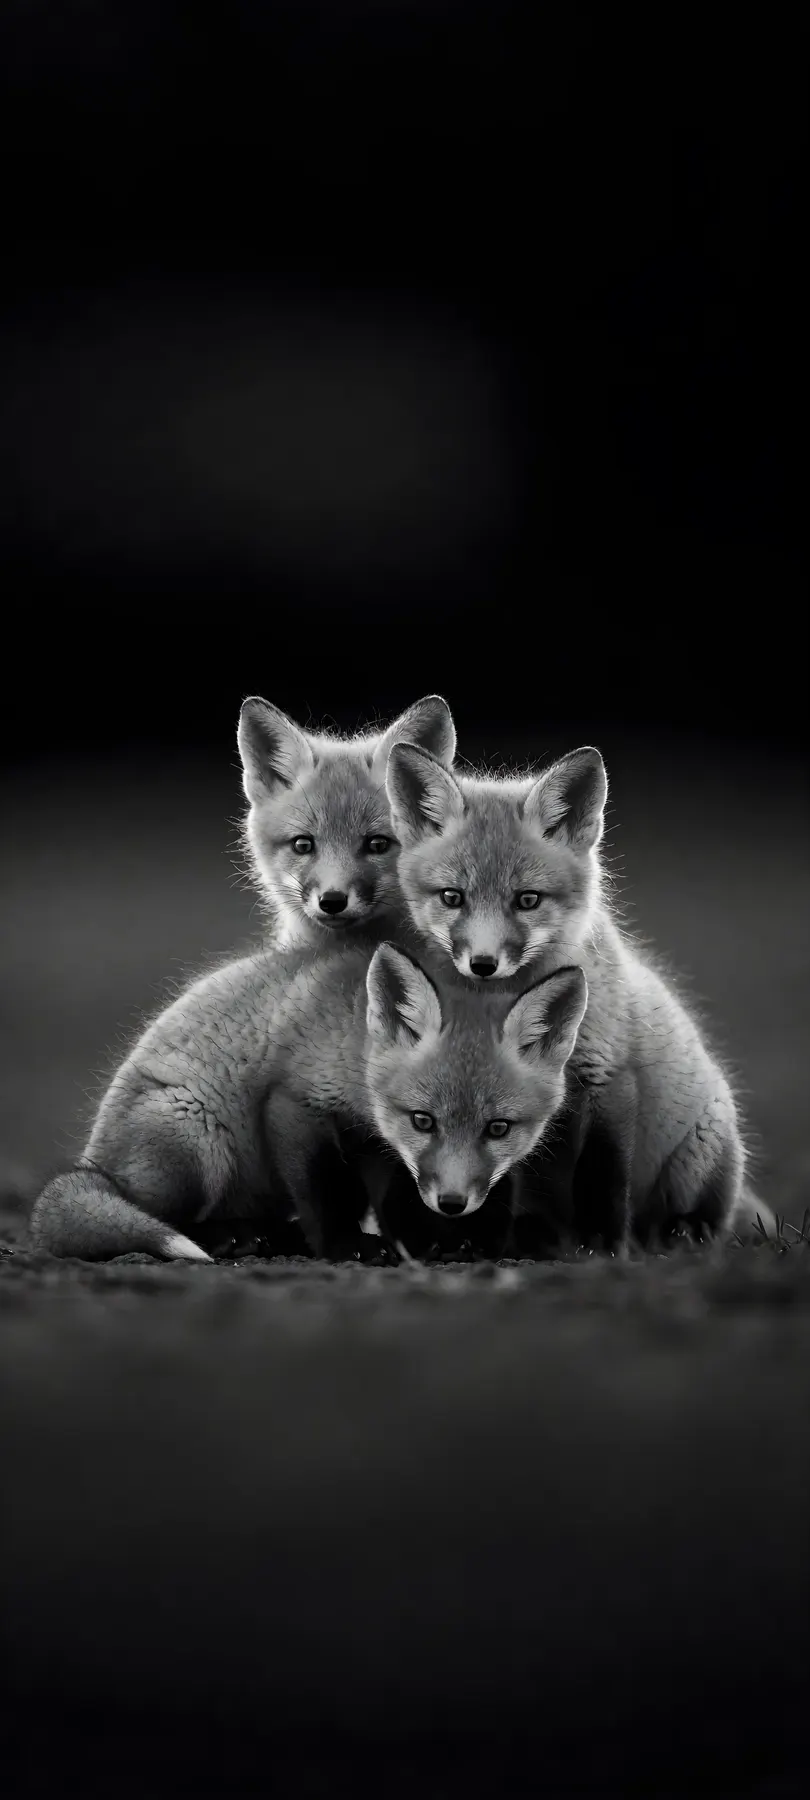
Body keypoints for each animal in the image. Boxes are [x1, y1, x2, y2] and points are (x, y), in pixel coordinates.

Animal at [29, 938, 587, 1263]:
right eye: (424, 1121)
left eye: (498, 1129)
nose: (452, 1205)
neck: (355, 1042)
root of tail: (95, 1164)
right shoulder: (295, 1103)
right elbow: (328, 1188)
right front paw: (347, 1247)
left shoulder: (378, 1144)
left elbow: (407, 1195)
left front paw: (460, 1240)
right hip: (194, 1134)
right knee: (161, 1216)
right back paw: (234, 1239)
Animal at [384, 740, 773, 1251]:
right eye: (452, 897)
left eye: (527, 900)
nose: (484, 964)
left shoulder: (607, 1077)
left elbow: (601, 1177)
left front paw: (603, 1244)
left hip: (700, 1159)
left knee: (705, 1218)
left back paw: (684, 1231)